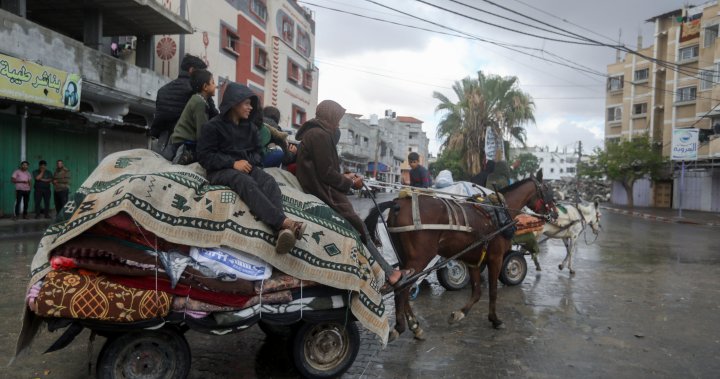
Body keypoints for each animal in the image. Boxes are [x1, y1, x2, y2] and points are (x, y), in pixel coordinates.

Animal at [366, 170, 556, 342]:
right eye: (547, 189)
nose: (554, 213)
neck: (500, 212)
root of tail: (398, 204)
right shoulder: (496, 258)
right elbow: (493, 291)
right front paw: (495, 320)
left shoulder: (473, 260)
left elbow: (477, 292)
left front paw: (459, 314)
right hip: (420, 258)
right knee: (402, 289)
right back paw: (400, 327)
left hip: (405, 258)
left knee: (403, 286)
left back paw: (415, 326)